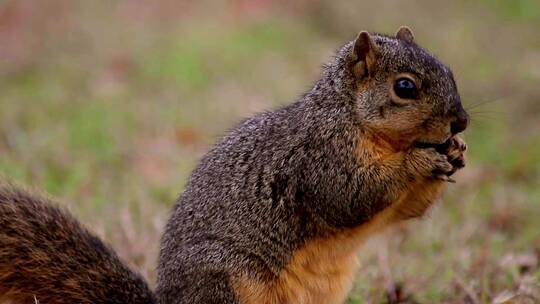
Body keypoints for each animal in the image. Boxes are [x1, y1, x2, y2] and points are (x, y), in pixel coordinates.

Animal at [0, 26, 468, 304]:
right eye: (405, 87)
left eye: (448, 68)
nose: (461, 121)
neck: (348, 115)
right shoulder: (321, 158)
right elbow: (349, 197)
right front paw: (422, 157)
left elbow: (407, 211)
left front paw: (456, 152)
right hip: (226, 279)